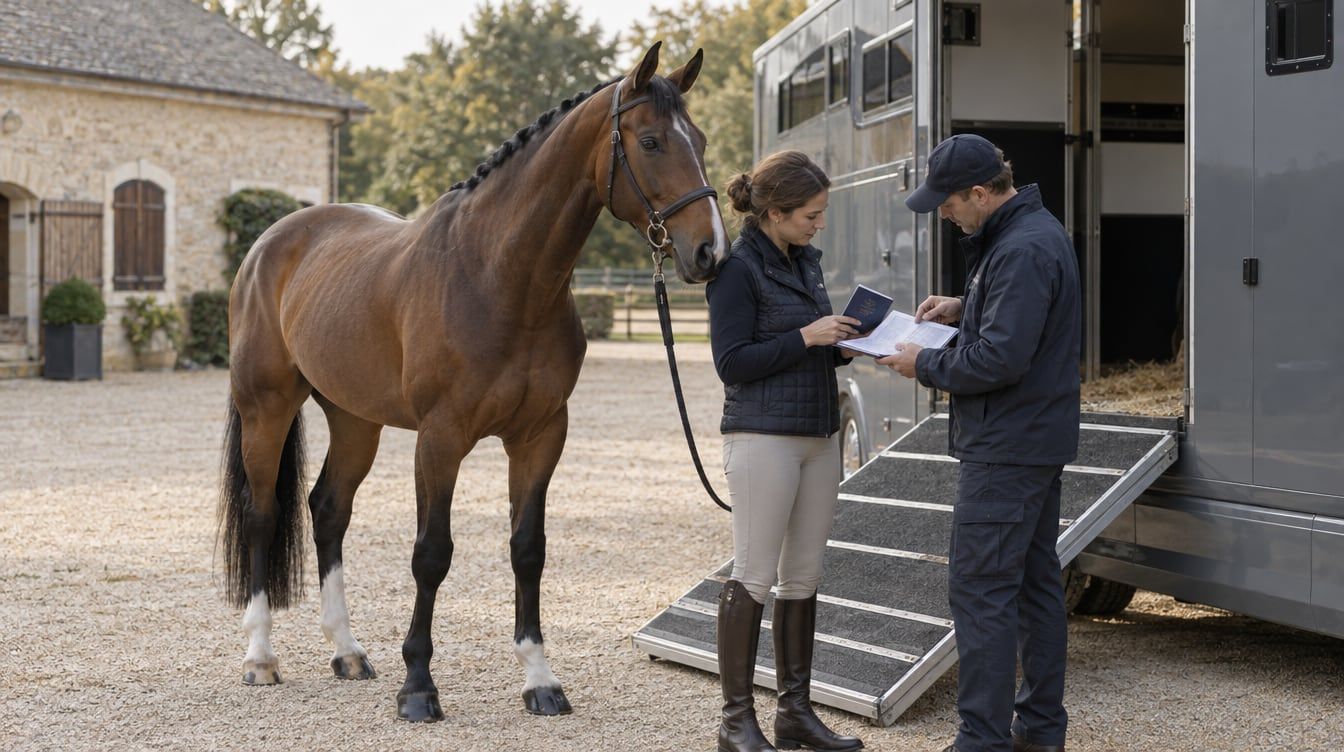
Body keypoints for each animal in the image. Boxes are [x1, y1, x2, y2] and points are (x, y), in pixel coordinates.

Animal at [217, 42, 727, 722]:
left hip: (356, 420)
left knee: (328, 510)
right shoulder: (440, 438)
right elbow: (432, 553)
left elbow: (528, 549)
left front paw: (540, 680)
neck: (499, 277)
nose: (710, 252)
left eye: (699, 138)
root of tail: (270, 242)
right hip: (266, 408)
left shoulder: (541, 436)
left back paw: (347, 651)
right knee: (264, 513)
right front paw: (418, 688)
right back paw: (260, 657)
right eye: (649, 141)